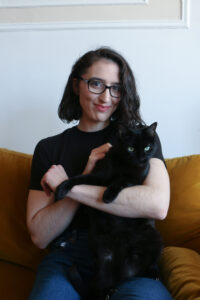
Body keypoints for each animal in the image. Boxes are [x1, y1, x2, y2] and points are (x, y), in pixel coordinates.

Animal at [54, 122, 162, 300]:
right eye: (130, 148)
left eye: (147, 147)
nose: (141, 159)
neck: (125, 165)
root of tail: (125, 270)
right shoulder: (97, 176)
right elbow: (78, 178)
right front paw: (61, 189)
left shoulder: (136, 179)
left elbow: (122, 180)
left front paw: (107, 195)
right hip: (103, 256)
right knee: (102, 281)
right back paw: (107, 291)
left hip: (154, 237)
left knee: (146, 266)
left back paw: (153, 273)